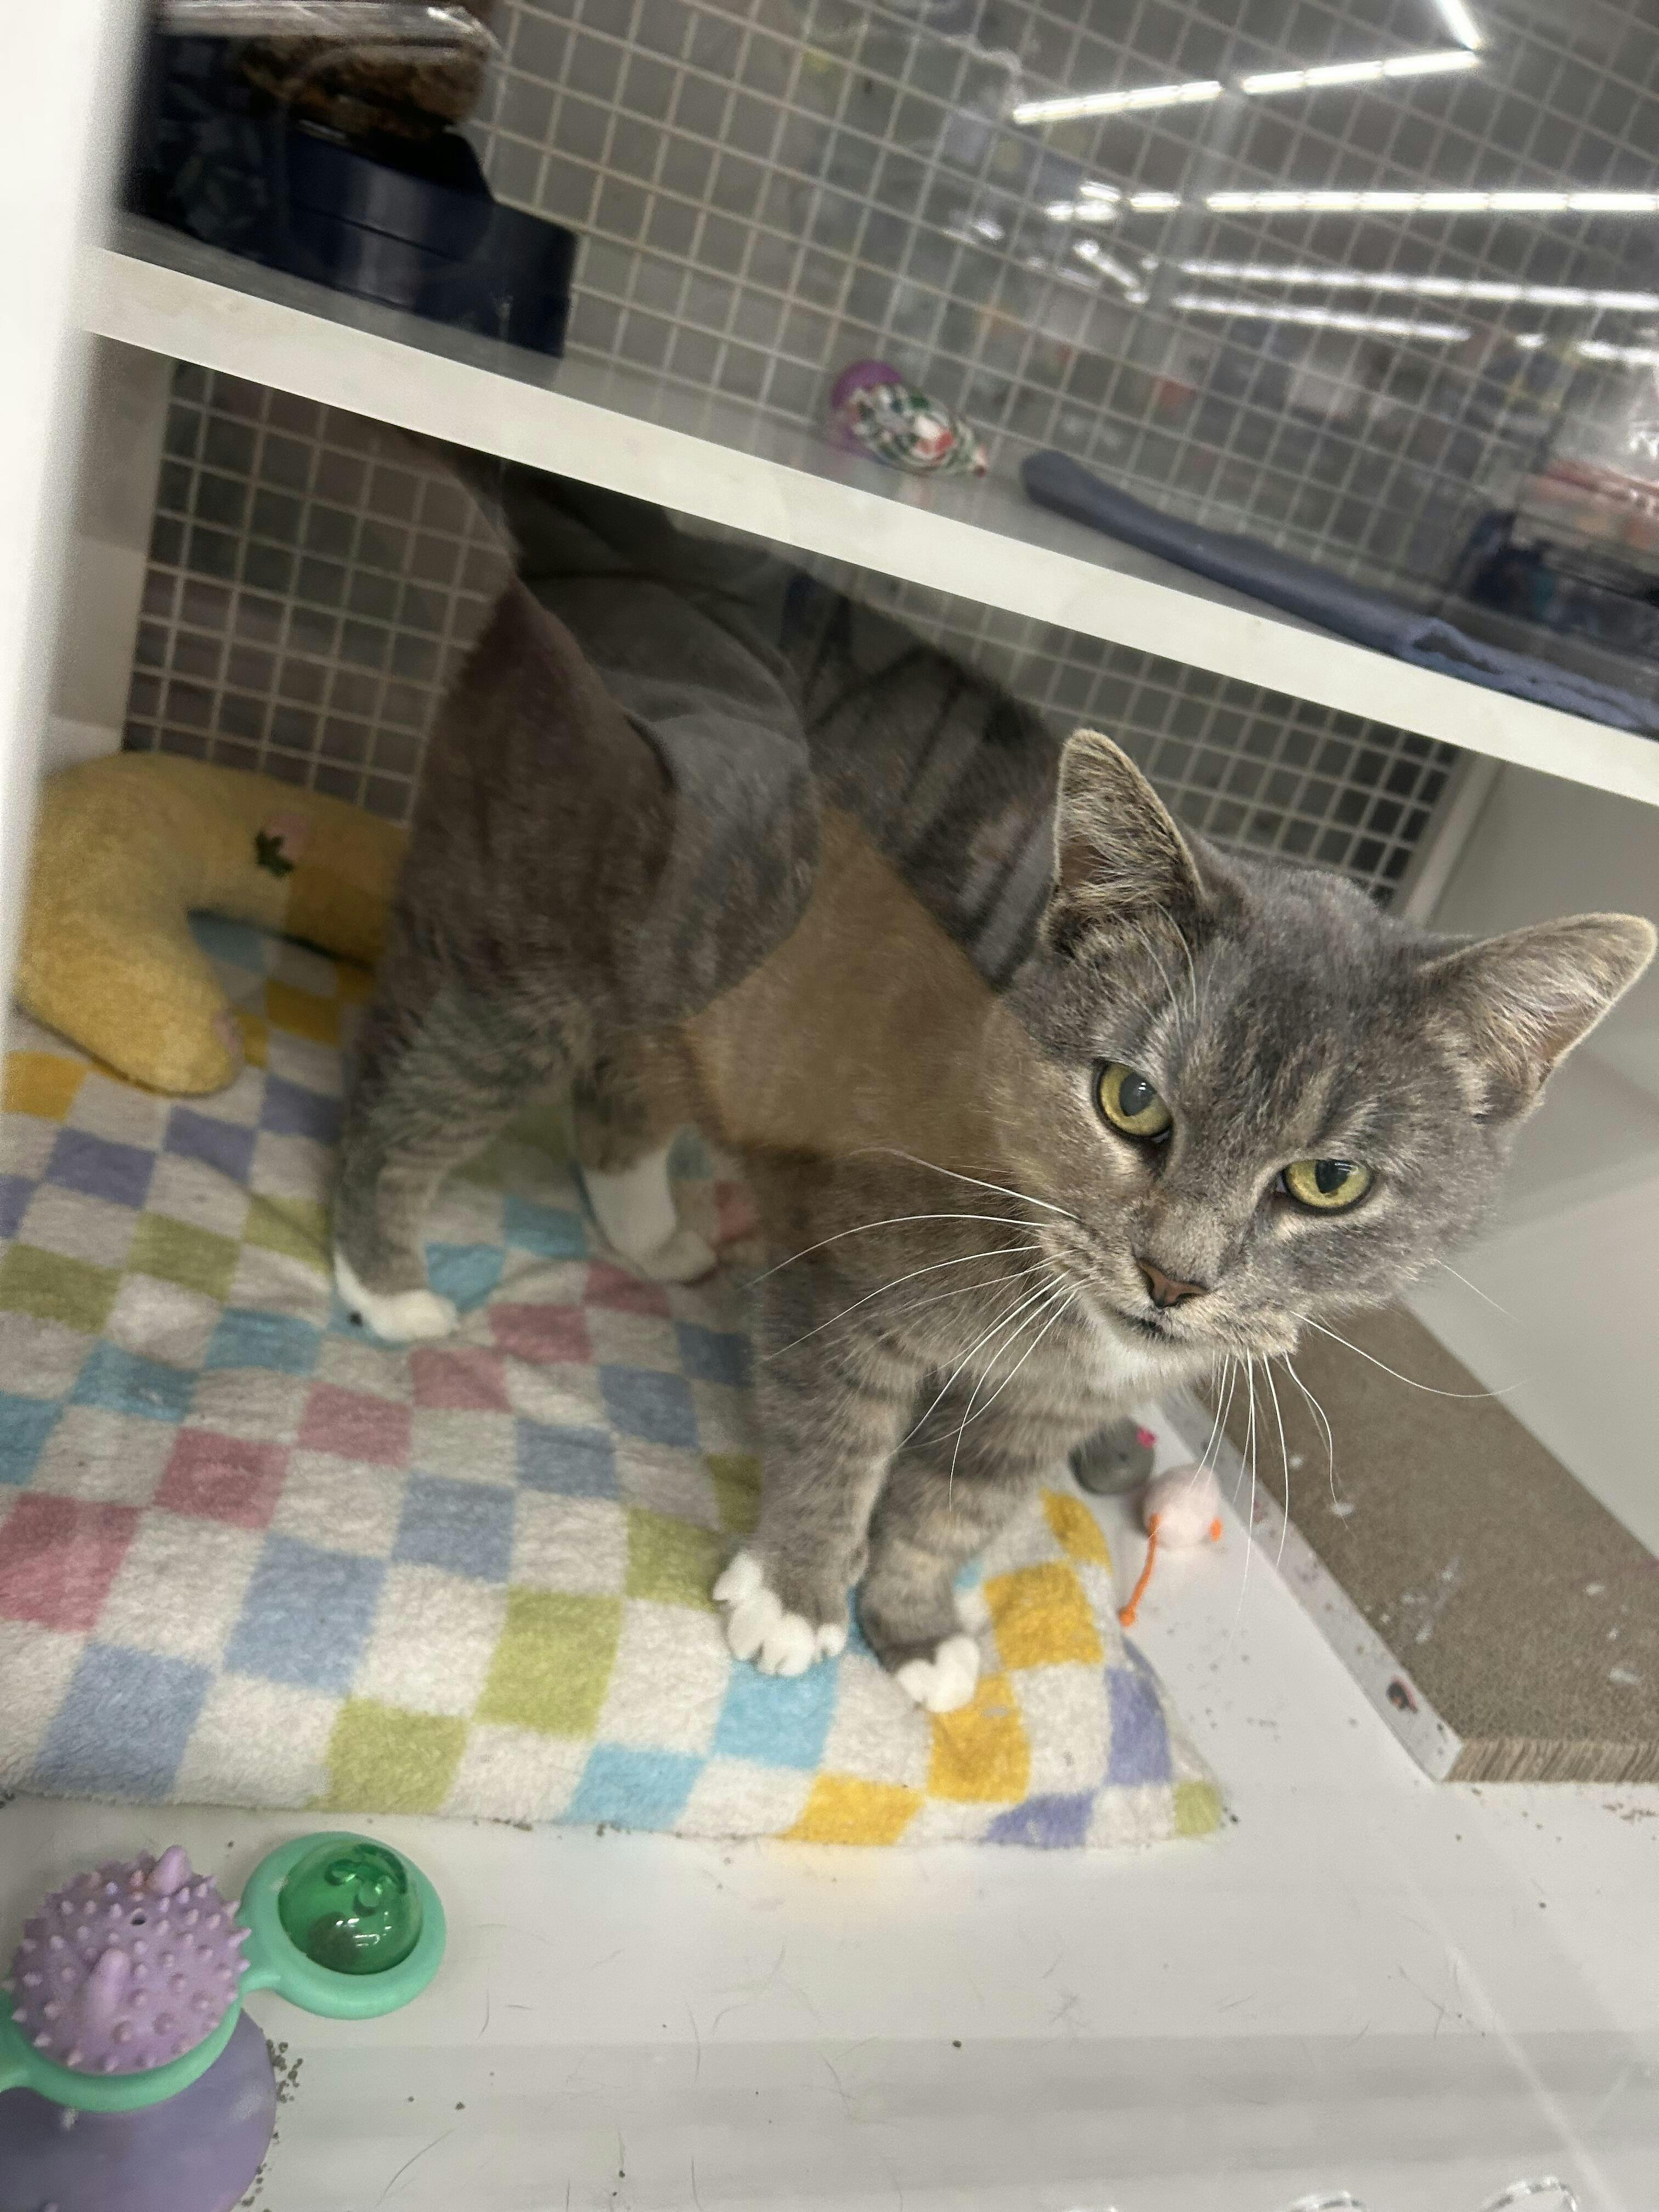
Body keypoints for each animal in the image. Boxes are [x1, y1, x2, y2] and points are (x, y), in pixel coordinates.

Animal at [332, 467, 1655, 1714]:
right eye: (1129, 1100)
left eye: (1329, 1180)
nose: (1173, 1278)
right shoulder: (849, 1283)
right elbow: (840, 1438)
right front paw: (796, 1597)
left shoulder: (1033, 1410)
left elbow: (950, 1511)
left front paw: (913, 1629)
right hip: (549, 936)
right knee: (414, 1075)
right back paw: (384, 1278)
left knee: (623, 1090)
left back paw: (648, 1233)